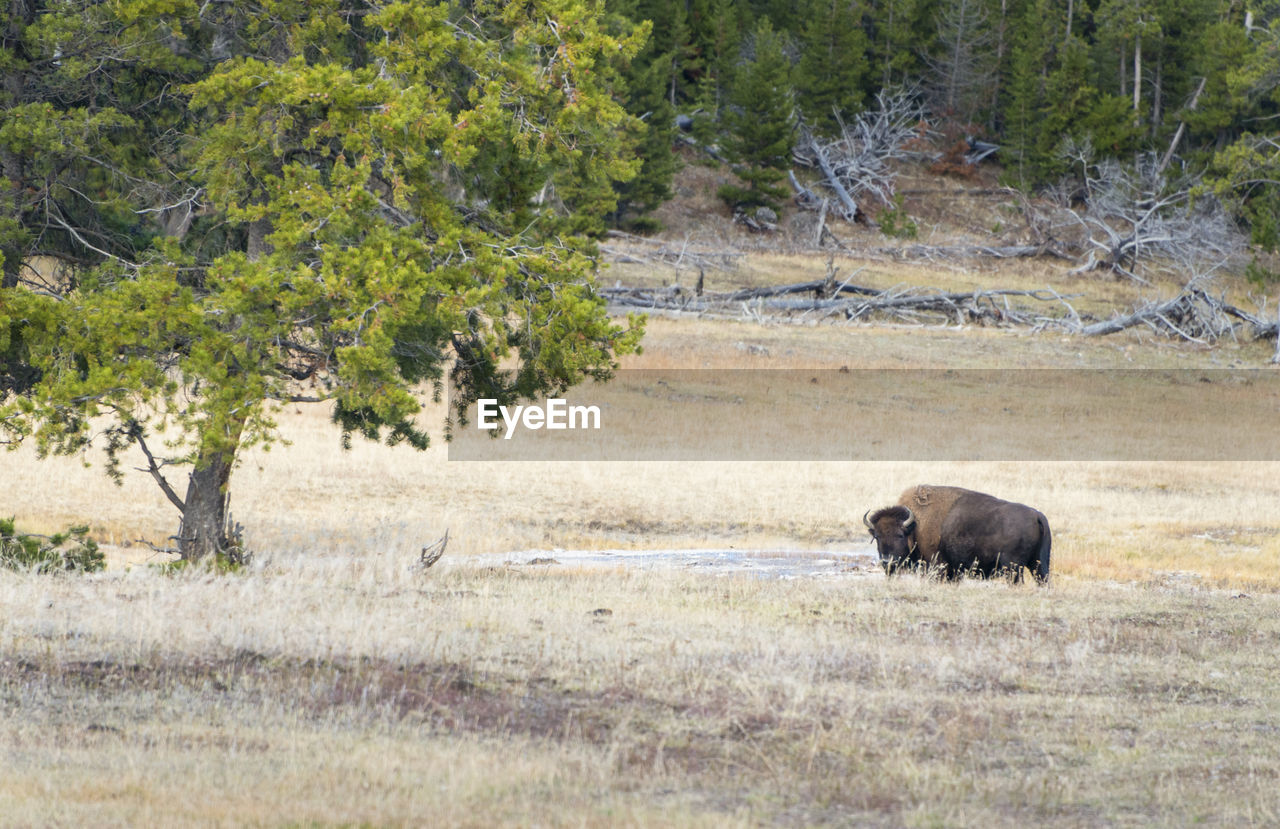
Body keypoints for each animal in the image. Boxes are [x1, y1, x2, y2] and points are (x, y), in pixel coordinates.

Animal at [865, 483, 1054, 585]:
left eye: (900, 535)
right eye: (877, 536)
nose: (887, 562)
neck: (916, 525)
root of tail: (1037, 515)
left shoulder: (938, 566)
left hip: (1013, 567)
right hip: (1039, 565)